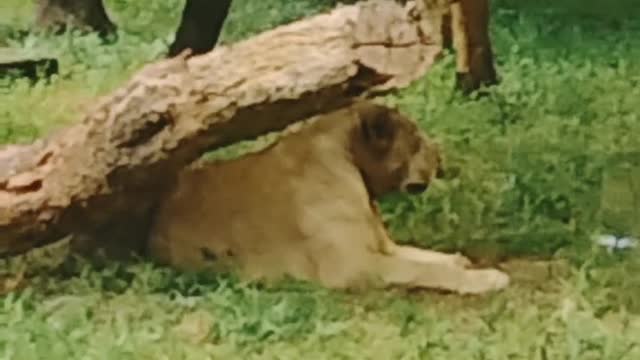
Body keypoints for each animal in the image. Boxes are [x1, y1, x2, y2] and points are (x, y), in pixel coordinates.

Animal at [146, 100, 510, 294]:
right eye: (416, 139)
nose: (442, 158)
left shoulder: (381, 246)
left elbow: (420, 255)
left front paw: (457, 259)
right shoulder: (352, 265)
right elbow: (422, 270)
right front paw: (486, 278)